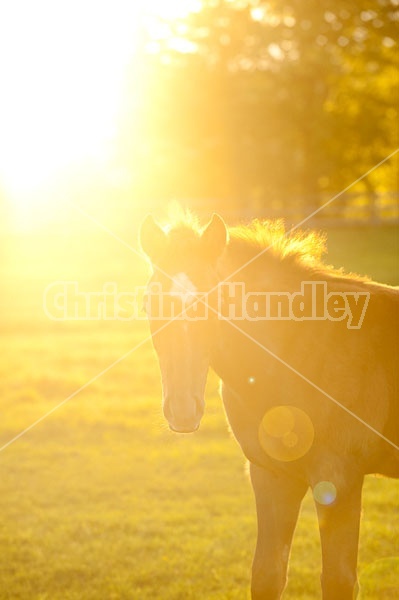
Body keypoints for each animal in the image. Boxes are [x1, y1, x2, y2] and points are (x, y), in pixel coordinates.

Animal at [138, 213, 399, 596]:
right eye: (150, 305)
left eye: (215, 303)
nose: (183, 410)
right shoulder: (271, 475)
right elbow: (267, 575)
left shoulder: (340, 479)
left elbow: (338, 580)